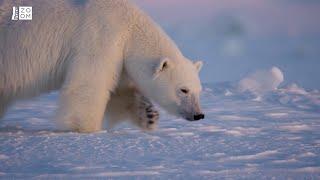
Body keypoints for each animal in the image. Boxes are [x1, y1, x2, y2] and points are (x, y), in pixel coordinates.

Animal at [0, 0, 204, 132]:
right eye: (183, 90)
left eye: (198, 90)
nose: (199, 115)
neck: (129, 26)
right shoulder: (99, 37)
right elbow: (89, 84)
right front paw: (86, 129)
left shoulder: (119, 55)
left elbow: (120, 90)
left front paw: (148, 115)